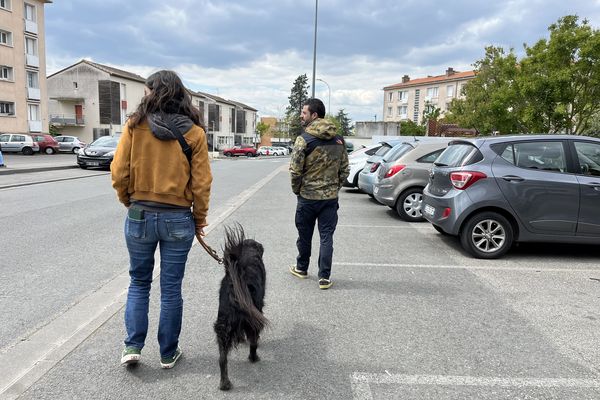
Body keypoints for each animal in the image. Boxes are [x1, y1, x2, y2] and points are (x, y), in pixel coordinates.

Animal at [212, 225, 266, 390]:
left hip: (223, 326)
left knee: (222, 359)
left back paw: (224, 383)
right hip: (253, 321)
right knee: (253, 342)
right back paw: (254, 358)